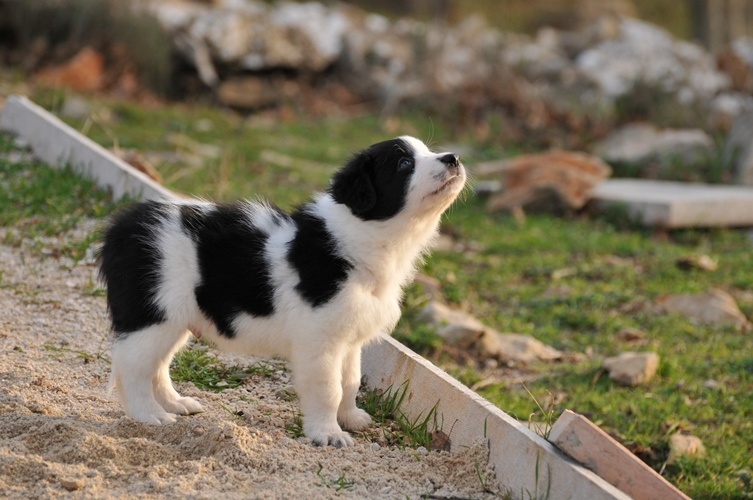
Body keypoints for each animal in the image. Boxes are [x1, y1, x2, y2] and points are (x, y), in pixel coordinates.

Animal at [98, 135, 464, 448]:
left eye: (427, 150)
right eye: (404, 163)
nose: (454, 158)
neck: (359, 240)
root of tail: (120, 226)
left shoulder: (349, 339)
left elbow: (350, 382)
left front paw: (351, 418)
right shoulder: (319, 341)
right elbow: (329, 388)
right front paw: (328, 434)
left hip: (173, 321)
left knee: (156, 365)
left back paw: (175, 403)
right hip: (151, 315)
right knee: (132, 368)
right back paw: (150, 415)